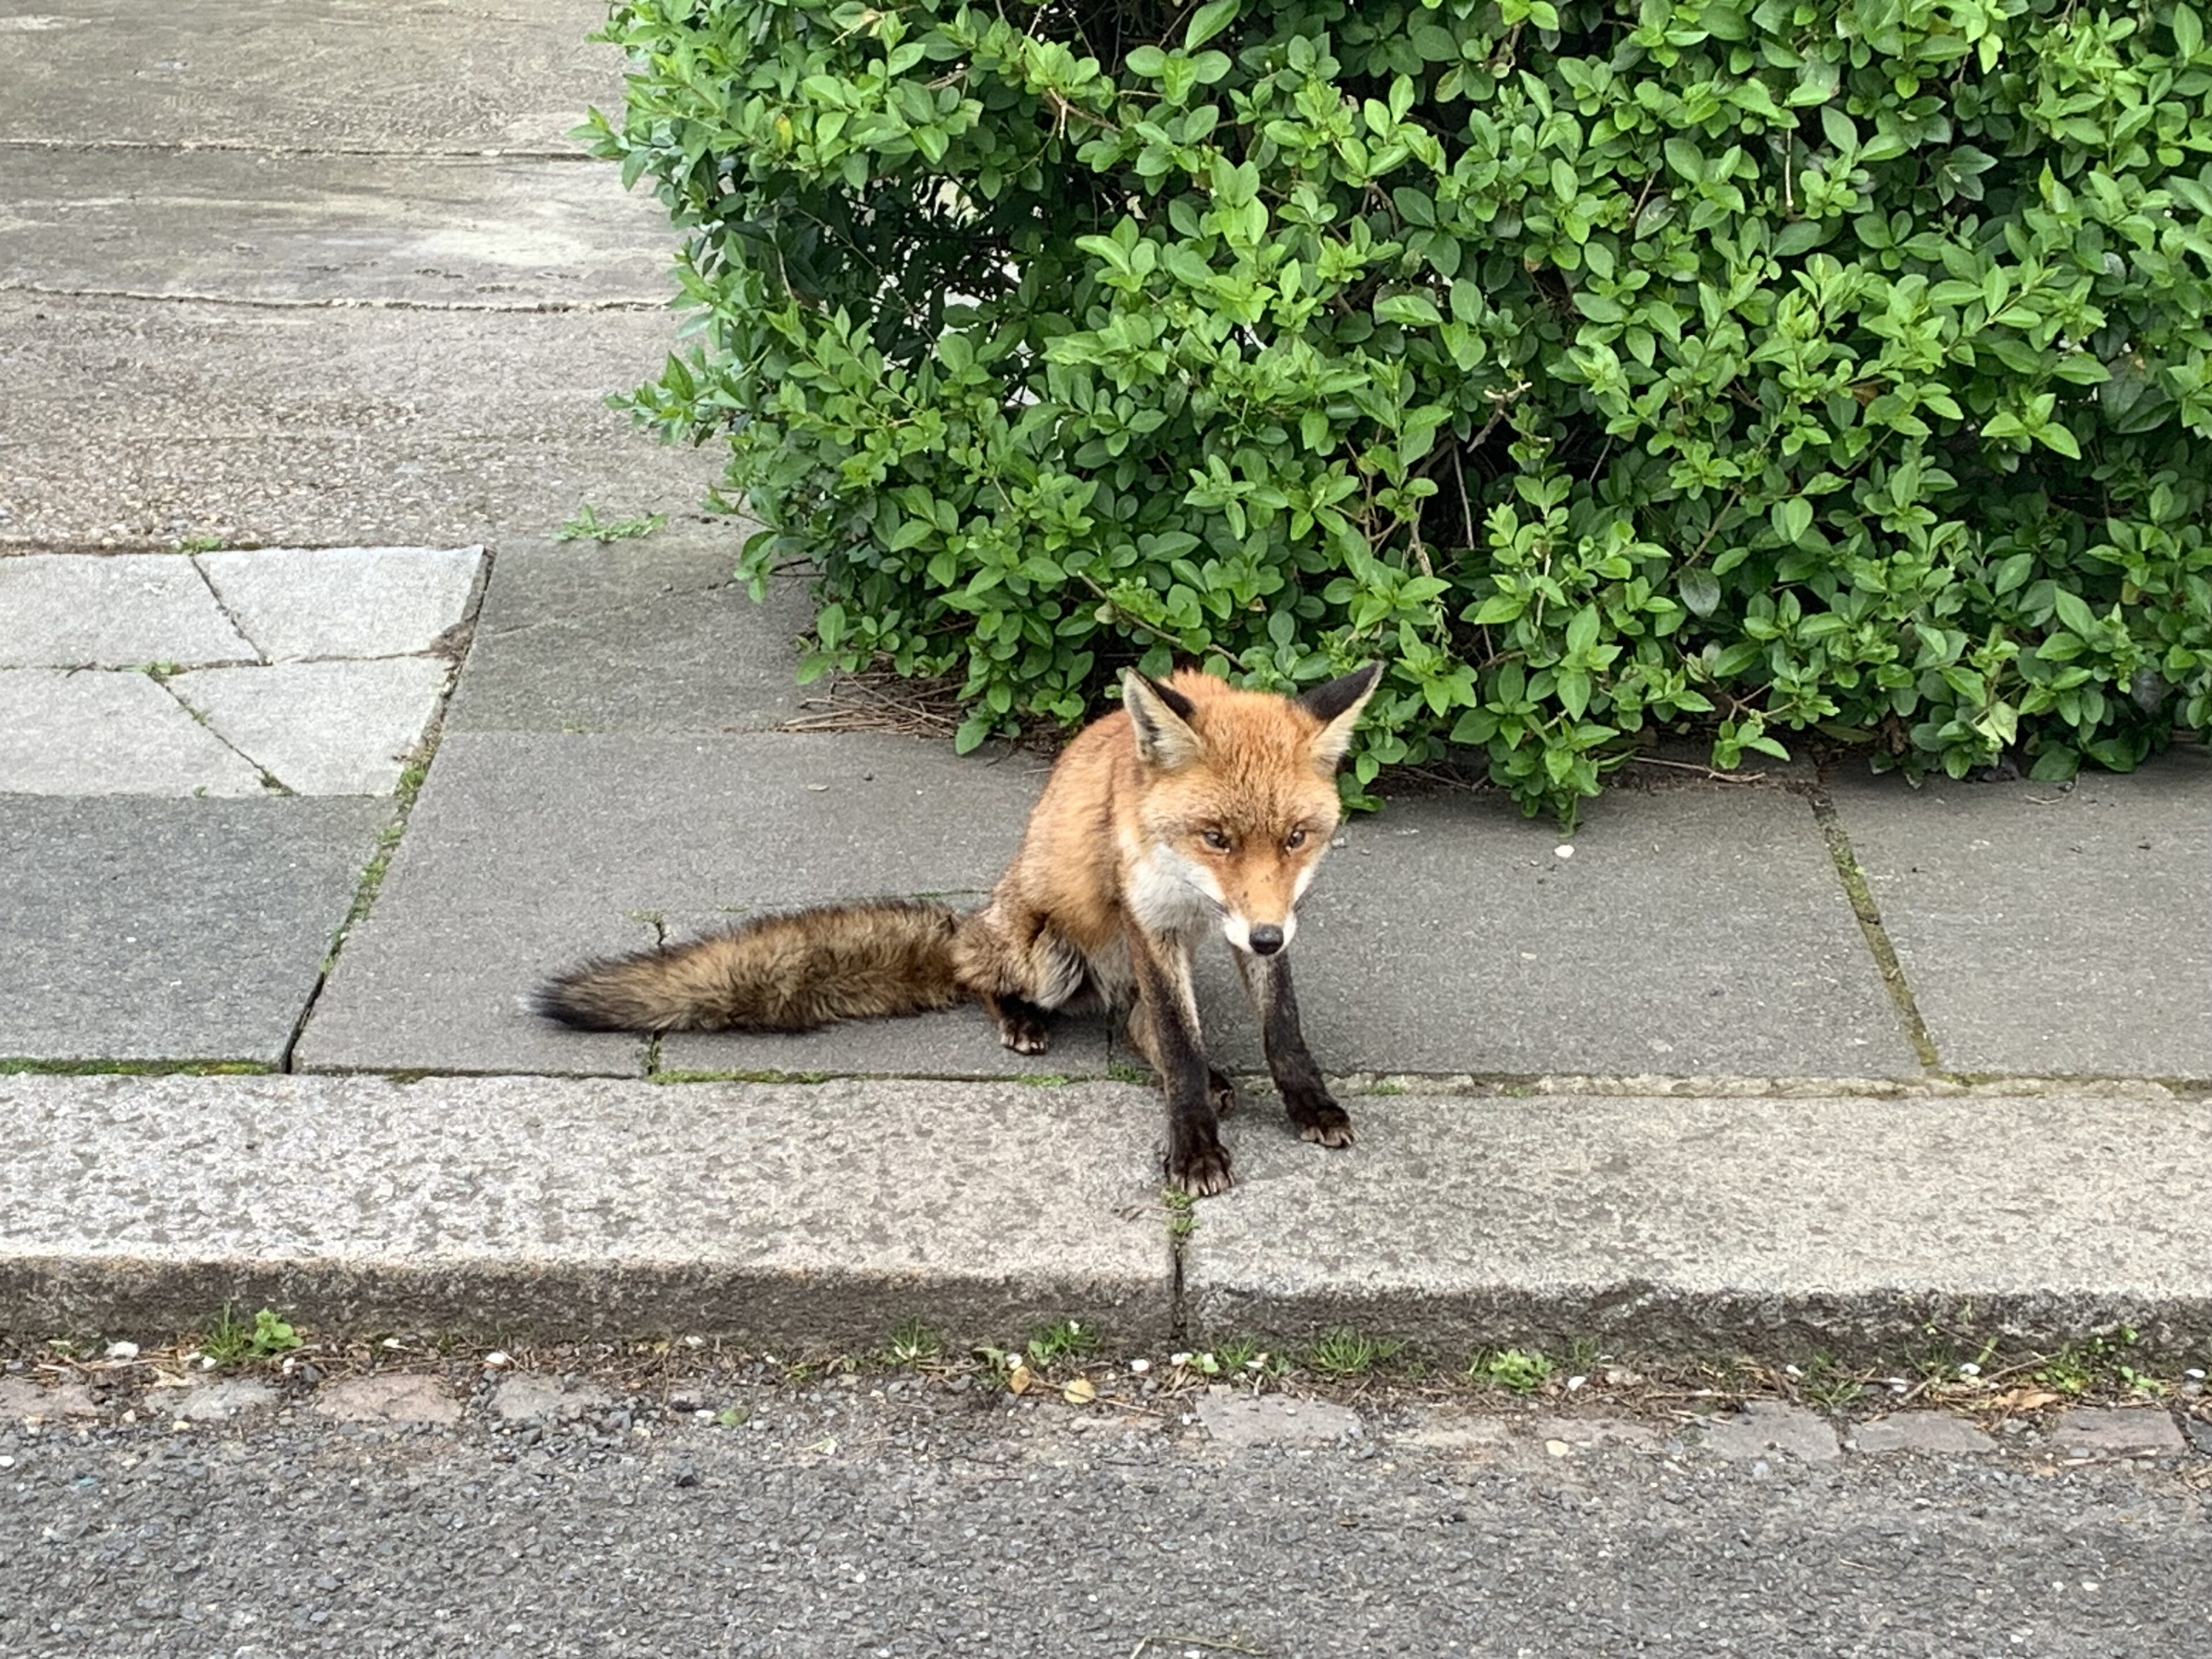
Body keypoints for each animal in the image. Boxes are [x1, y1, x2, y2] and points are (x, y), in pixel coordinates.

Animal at [531, 664, 1380, 1194]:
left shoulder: (1259, 920)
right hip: (1044, 951)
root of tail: (980, 917)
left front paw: (1308, 1105)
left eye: (1296, 838)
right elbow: (1178, 1039)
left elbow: (1280, 1028)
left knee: (1137, 1022)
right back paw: (1021, 1020)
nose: (1265, 939)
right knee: (989, 979)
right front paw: (1195, 1147)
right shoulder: (1151, 920)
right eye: (1217, 838)